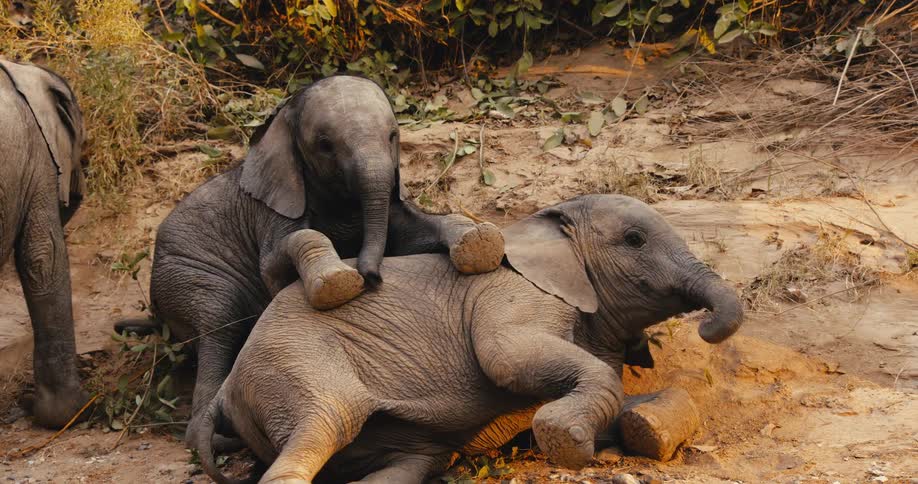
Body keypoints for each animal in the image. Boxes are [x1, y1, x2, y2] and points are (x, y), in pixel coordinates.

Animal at [135, 75, 505, 450]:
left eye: (393, 136)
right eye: (325, 145)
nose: (372, 278)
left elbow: (414, 232)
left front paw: (479, 243)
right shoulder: (272, 212)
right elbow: (277, 266)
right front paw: (337, 283)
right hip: (185, 275)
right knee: (218, 325)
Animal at [196, 194, 745, 484]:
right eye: (634, 241)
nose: (705, 326)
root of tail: (224, 392)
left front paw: (642, 429)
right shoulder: (511, 291)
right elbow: (506, 357)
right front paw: (564, 441)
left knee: (413, 463)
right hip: (293, 364)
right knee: (323, 424)